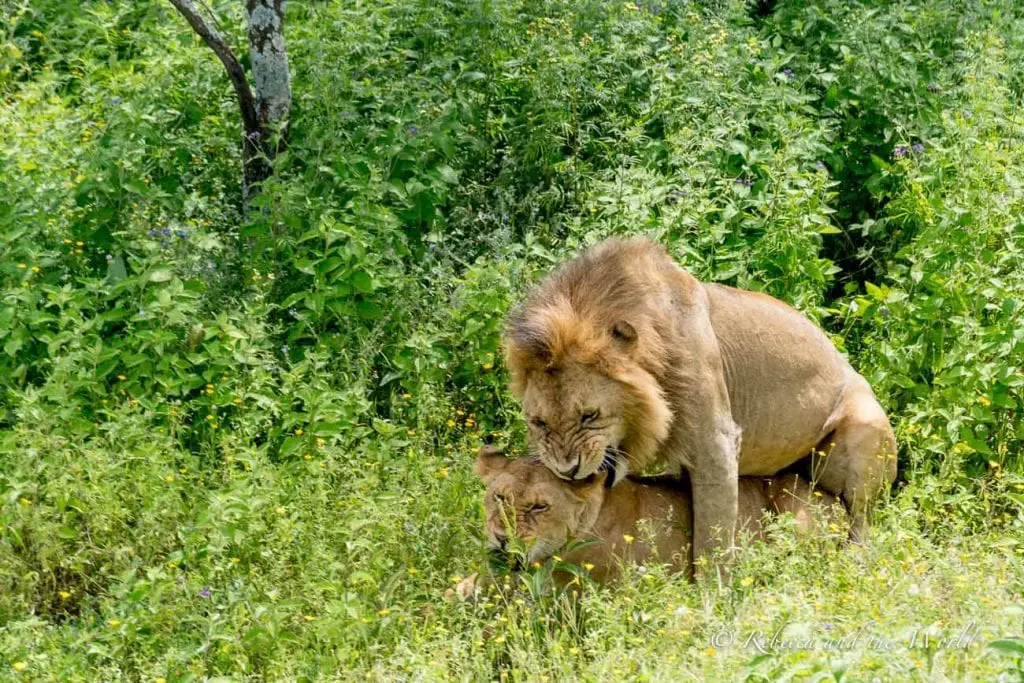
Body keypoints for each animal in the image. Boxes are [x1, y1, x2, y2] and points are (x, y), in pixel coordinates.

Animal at [503, 235, 897, 565]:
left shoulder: (716, 444)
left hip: (865, 427)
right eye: (539, 423)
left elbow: (713, 538)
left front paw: (712, 600)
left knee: (863, 519)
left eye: (589, 415)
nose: (566, 470)